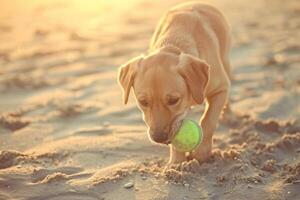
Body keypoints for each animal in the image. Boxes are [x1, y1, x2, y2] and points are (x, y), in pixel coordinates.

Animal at [118, 1, 231, 164]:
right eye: (143, 102)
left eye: (173, 100)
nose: (158, 138)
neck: (172, 44)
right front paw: (177, 163)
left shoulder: (221, 88)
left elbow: (208, 121)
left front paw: (202, 153)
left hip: (226, 60)